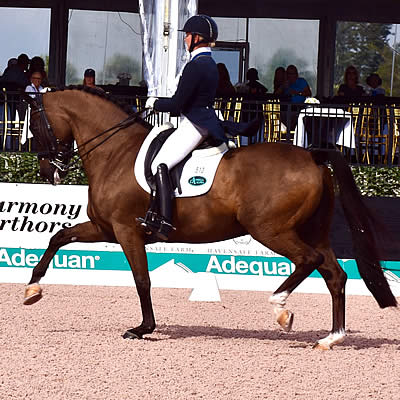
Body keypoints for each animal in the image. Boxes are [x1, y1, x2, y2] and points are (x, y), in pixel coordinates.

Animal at [21, 86, 396, 348]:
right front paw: (31, 290)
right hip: (312, 229)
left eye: (36, 126)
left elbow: (142, 280)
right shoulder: (105, 228)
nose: (47, 171)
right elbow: (59, 237)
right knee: (334, 274)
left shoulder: (127, 231)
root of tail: (313, 156)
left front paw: (142, 329)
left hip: (271, 230)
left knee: (309, 260)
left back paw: (281, 309)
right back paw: (331, 338)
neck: (116, 152)